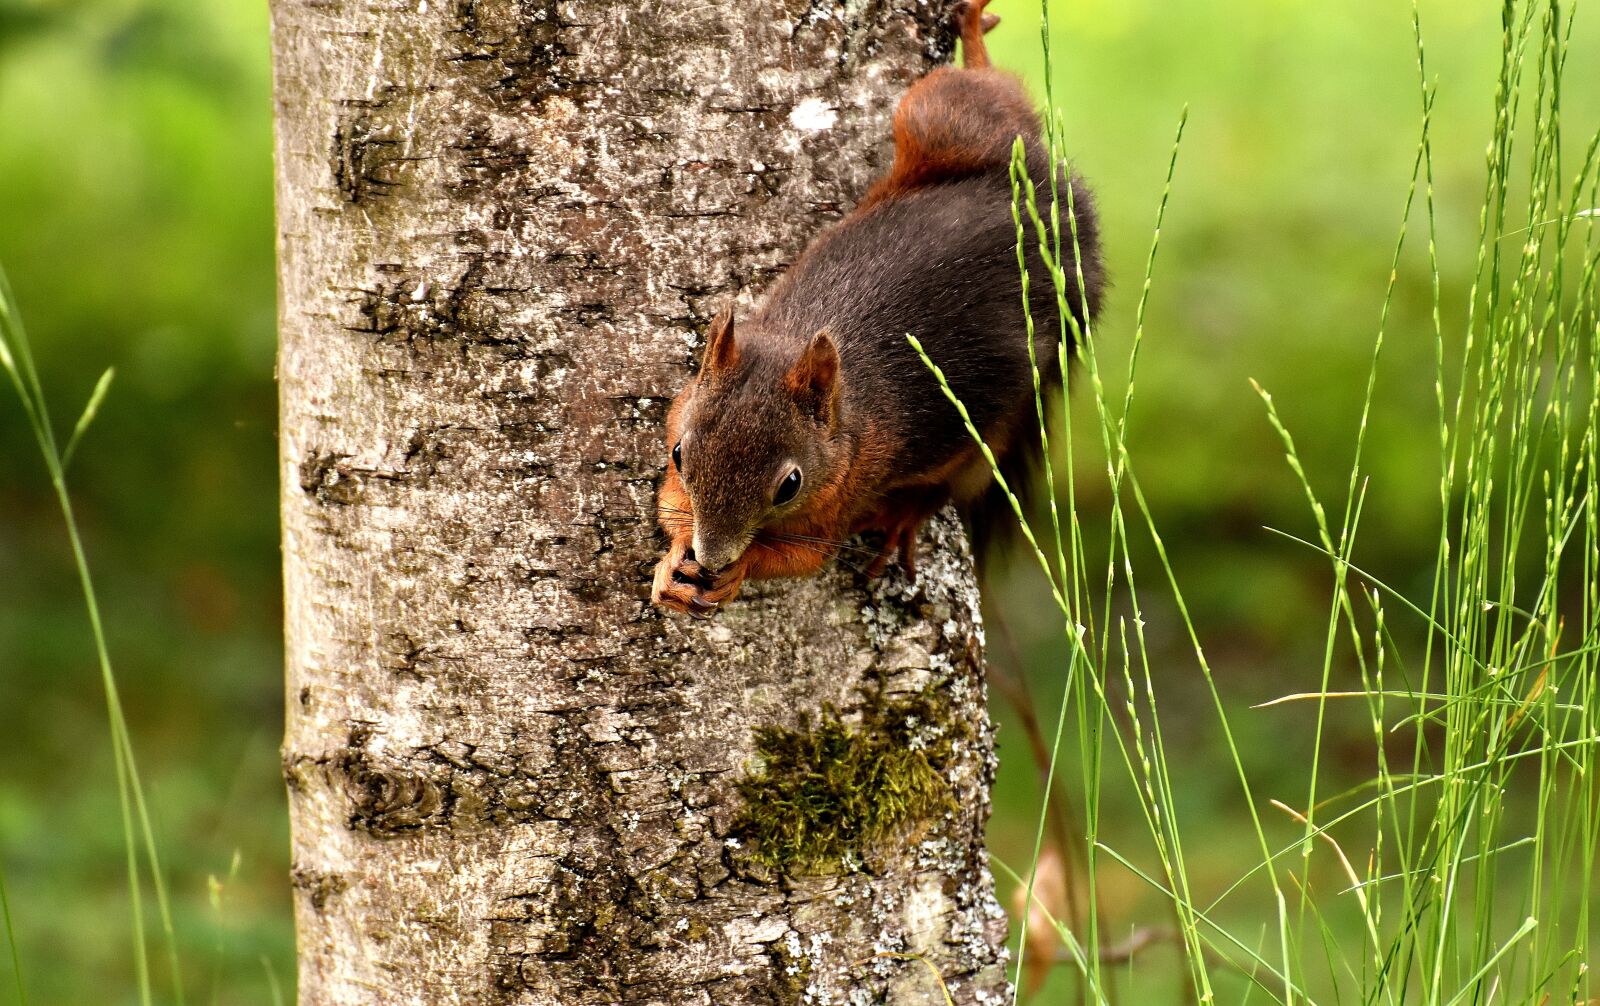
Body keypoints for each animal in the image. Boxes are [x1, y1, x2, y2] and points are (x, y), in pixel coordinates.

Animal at [652, 0, 1103, 617]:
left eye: (789, 485)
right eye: (678, 452)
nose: (712, 556)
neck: (847, 418)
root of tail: (1061, 218)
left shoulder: (845, 493)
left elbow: (802, 558)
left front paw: (738, 568)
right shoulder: (682, 410)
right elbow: (668, 503)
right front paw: (673, 564)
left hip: (1001, 421)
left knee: (960, 477)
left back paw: (902, 519)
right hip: (947, 123)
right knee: (994, 105)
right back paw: (975, 36)